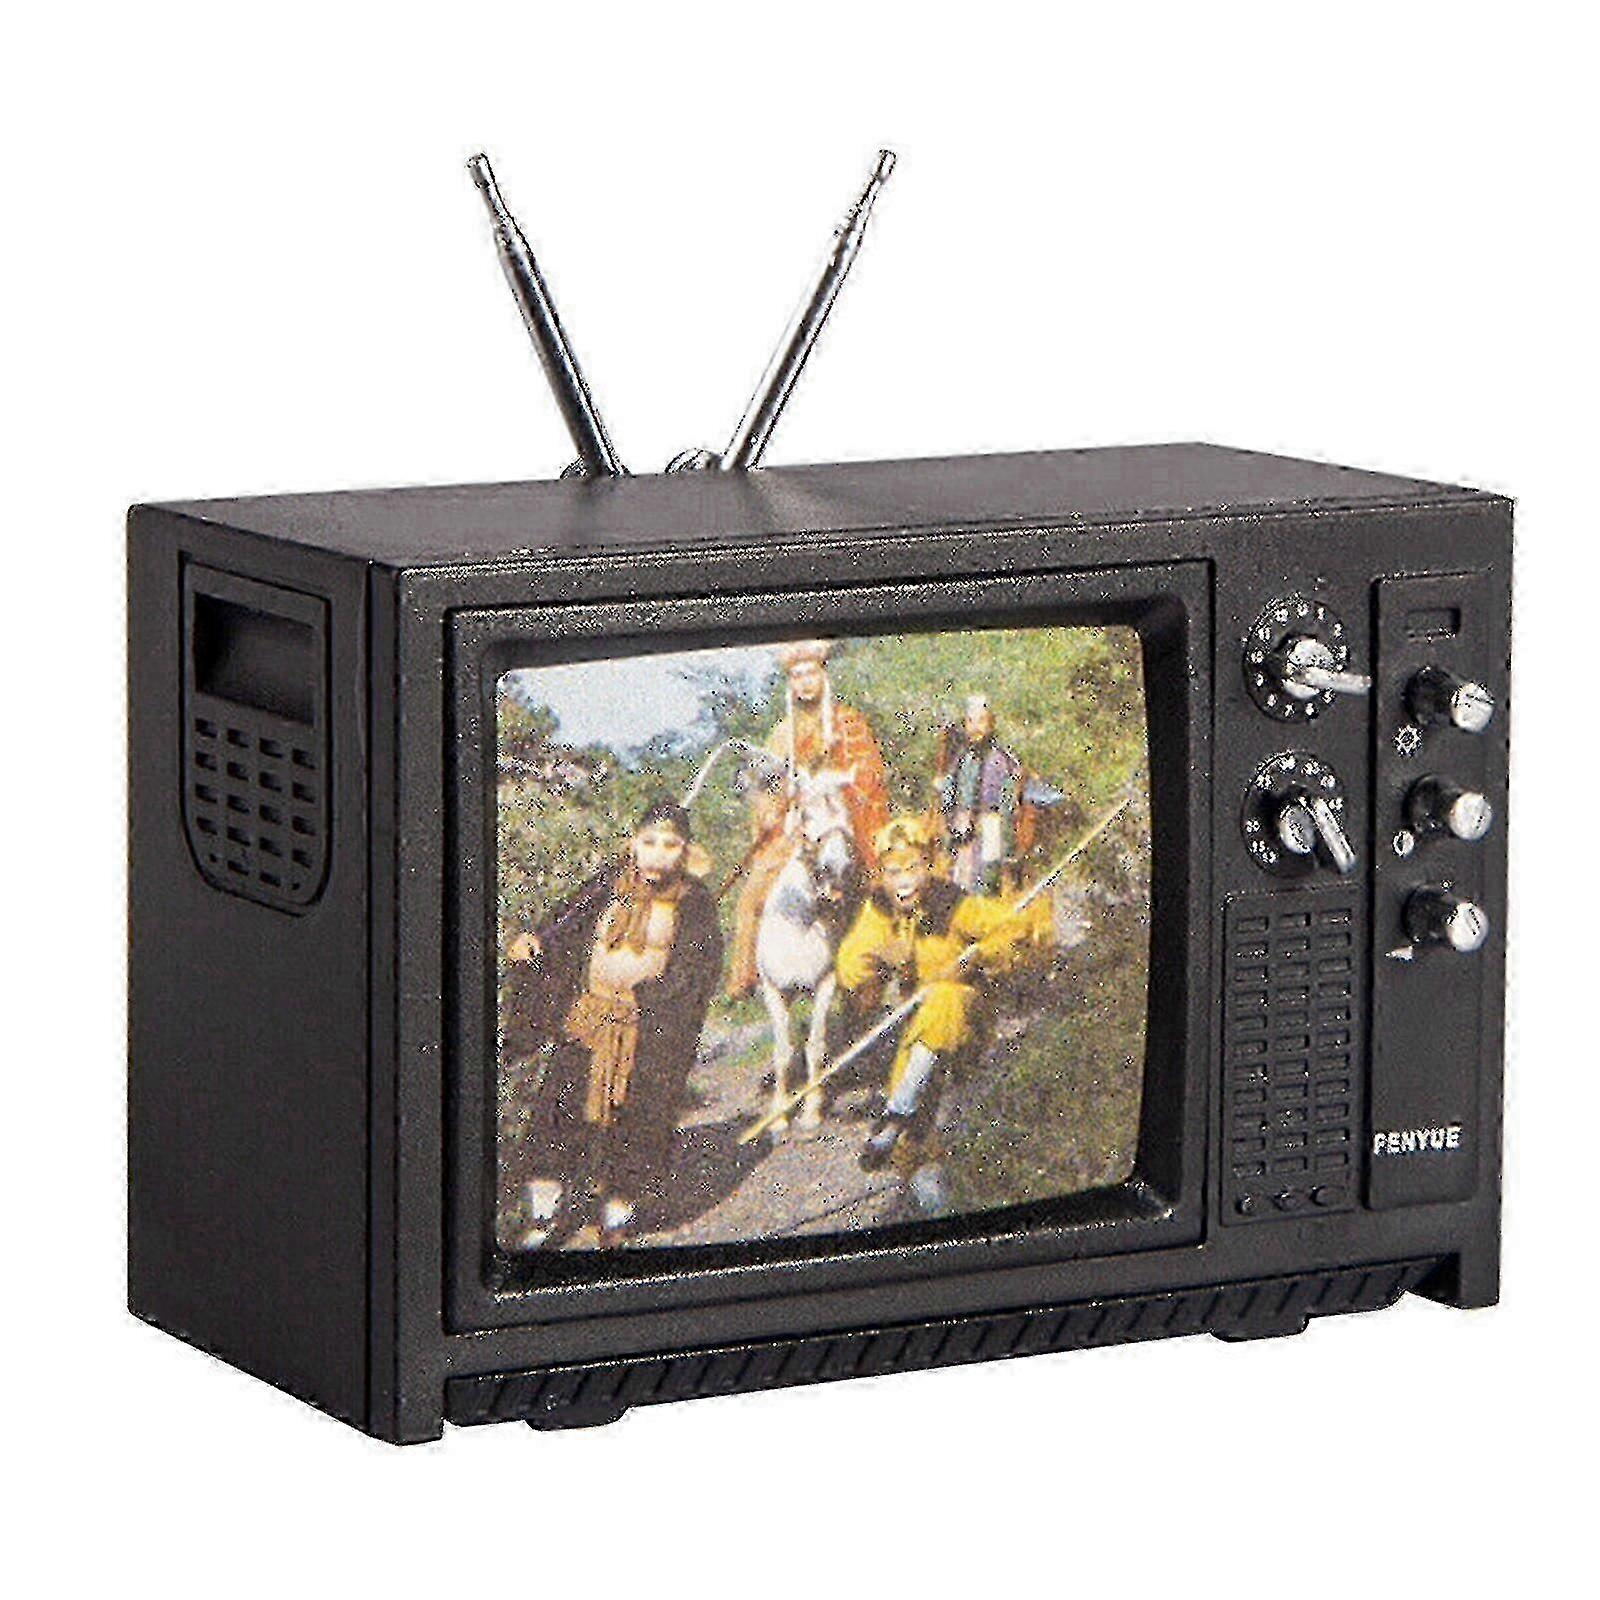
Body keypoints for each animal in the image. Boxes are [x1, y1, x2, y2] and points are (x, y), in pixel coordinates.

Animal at [753, 765, 860, 1138]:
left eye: (845, 816)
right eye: (807, 814)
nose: (838, 868)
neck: (800, 925)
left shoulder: (824, 985)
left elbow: (815, 1047)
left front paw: (812, 1112)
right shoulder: (775, 991)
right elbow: (784, 1052)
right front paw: (779, 1118)